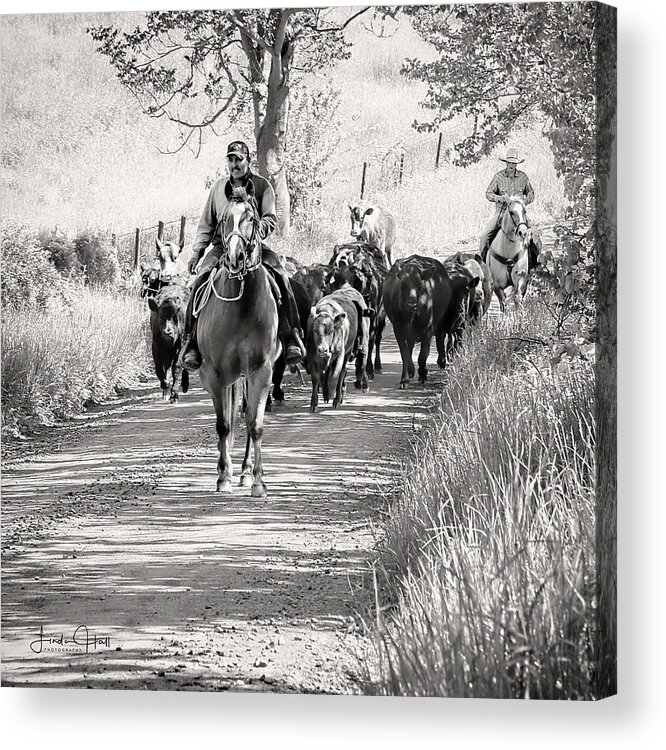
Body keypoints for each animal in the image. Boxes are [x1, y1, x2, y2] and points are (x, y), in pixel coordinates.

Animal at [196, 189, 282, 500]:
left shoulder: (261, 371)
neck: (241, 306)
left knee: (244, 413)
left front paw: (258, 481)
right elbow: (223, 425)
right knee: (231, 417)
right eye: (224, 220)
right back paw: (231, 470)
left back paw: (244, 471)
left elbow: (254, 424)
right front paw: (223, 477)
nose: (235, 257)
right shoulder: (215, 374)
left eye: (252, 218)